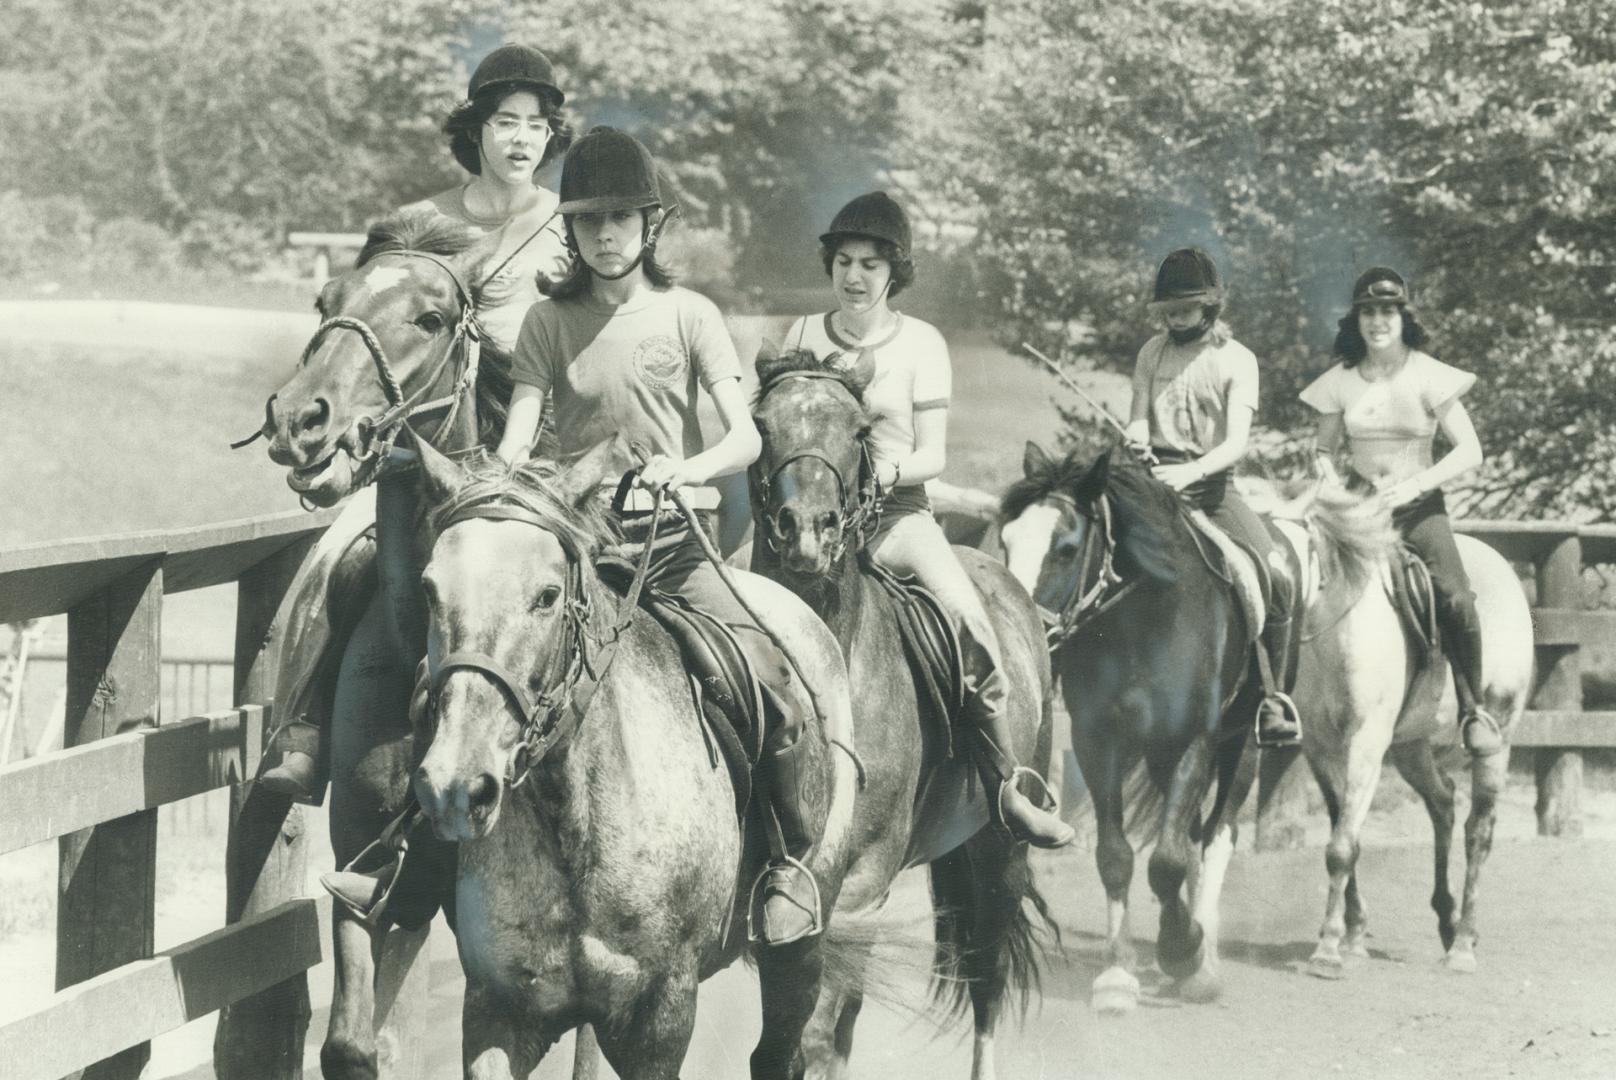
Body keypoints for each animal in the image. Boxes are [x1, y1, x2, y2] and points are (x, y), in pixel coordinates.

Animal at [746, 350, 1060, 1080]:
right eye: (761, 424)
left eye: (862, 429)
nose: (805, 532)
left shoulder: (859, 886)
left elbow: (812, 1036)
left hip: (1000, 851)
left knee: (987, 981)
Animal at [995, 439, 1260, 1015]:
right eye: (1005, 540)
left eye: (1066, 547)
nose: (1022, 629)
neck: (1147, 619)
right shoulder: (1097, 741)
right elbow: (1117, 856)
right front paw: (1119, 973)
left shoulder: (1194, 739)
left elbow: (1166, 861)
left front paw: (1183, 949)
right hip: (1159, 757)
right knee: (1190, 833)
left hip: (1242, 746)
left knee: (1215, 836)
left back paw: (1204, 962)